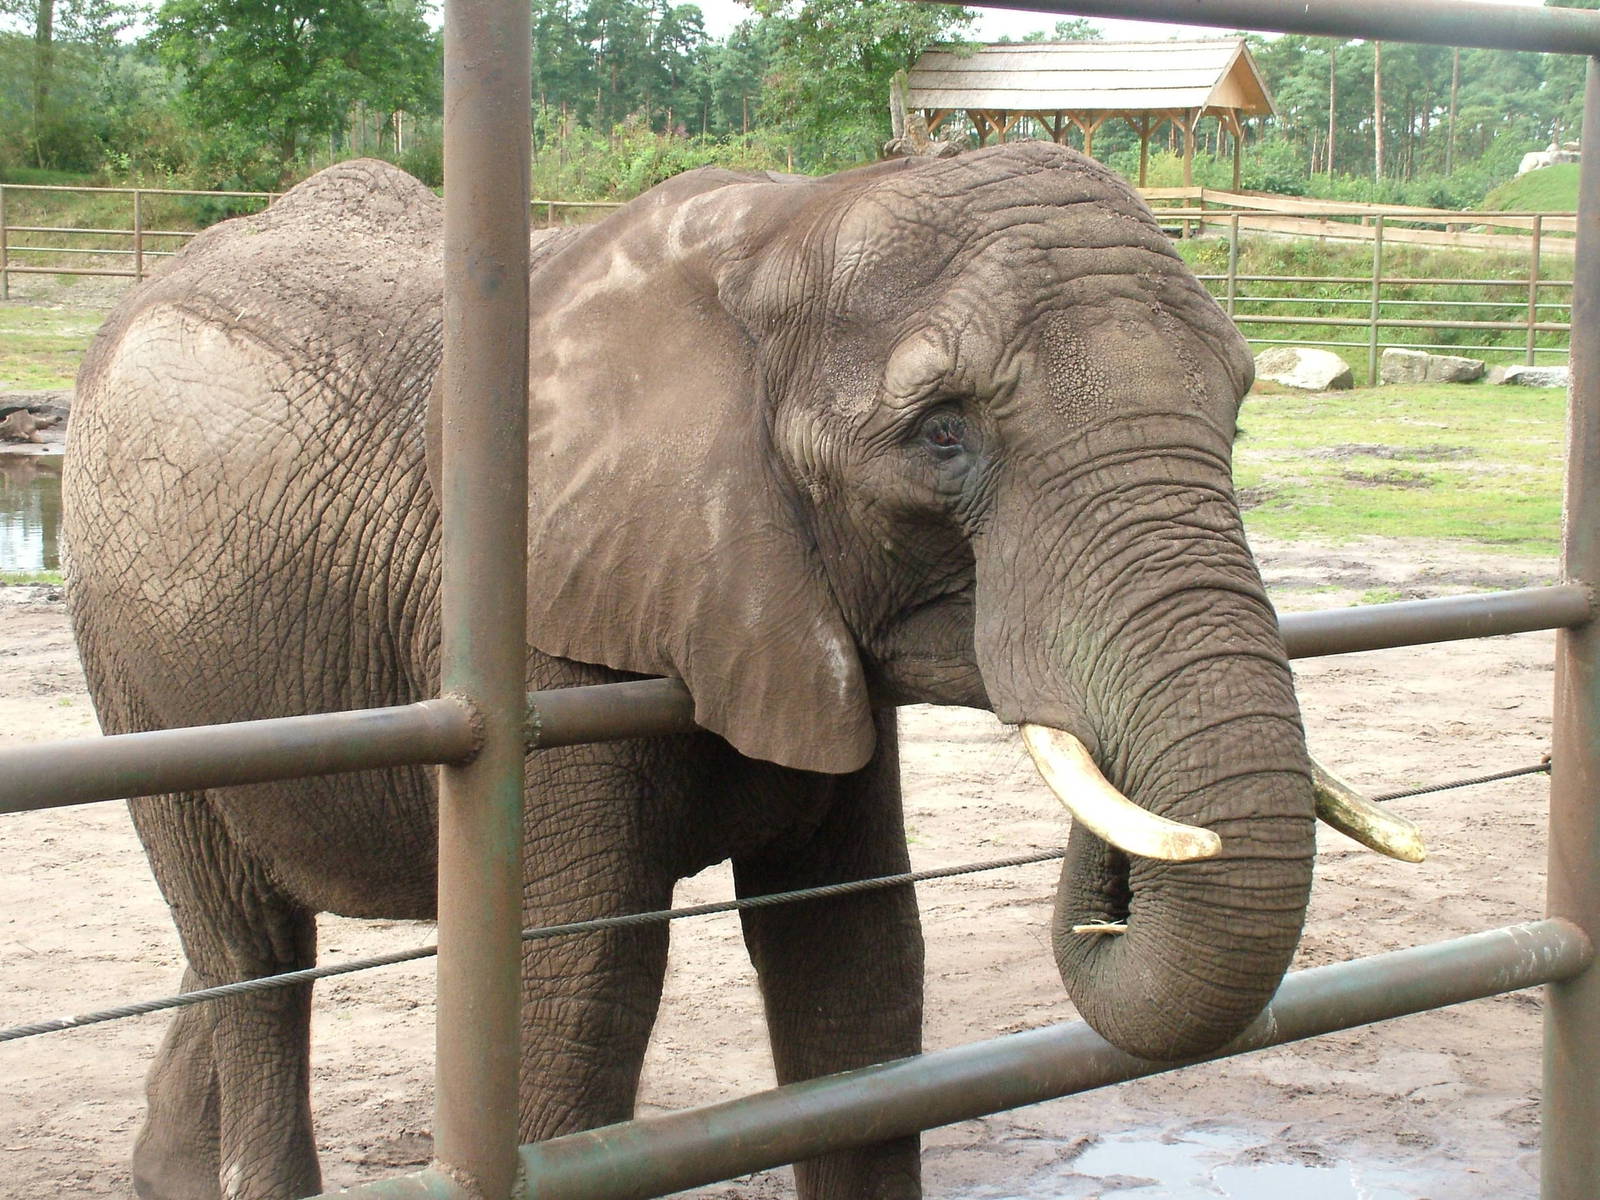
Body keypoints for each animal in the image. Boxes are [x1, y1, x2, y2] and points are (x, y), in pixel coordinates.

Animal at [63, 144, 1330, 1200]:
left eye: (1233, 417)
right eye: (941, 432)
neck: (782, 228)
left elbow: (857, 975)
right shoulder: (555, 621)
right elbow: (580, 999)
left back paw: (165, 1176)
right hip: (127, 655)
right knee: (252, 949)